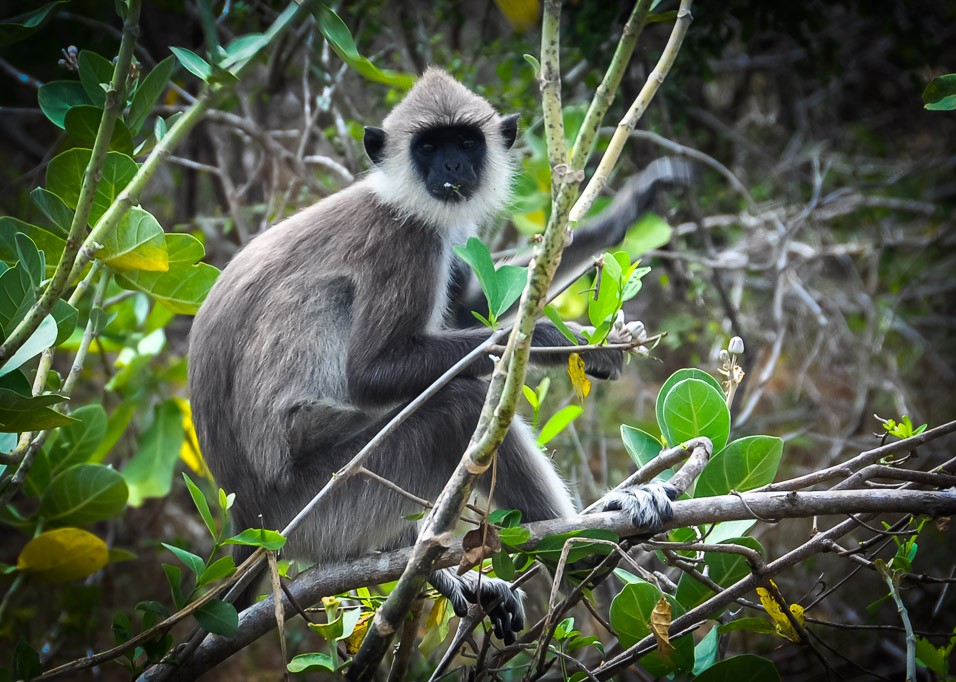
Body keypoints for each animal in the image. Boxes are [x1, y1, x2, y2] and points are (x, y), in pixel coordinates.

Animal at [189, 69, 688, 644]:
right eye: (429, 147)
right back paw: (588, 542)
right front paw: (563, 339)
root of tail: (250, 522)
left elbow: (473, 301)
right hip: (329, 501)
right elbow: (372, 374)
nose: (451, 167)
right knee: (461, 409)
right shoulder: (405, 239)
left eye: (465, 142)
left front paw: (624, 214)